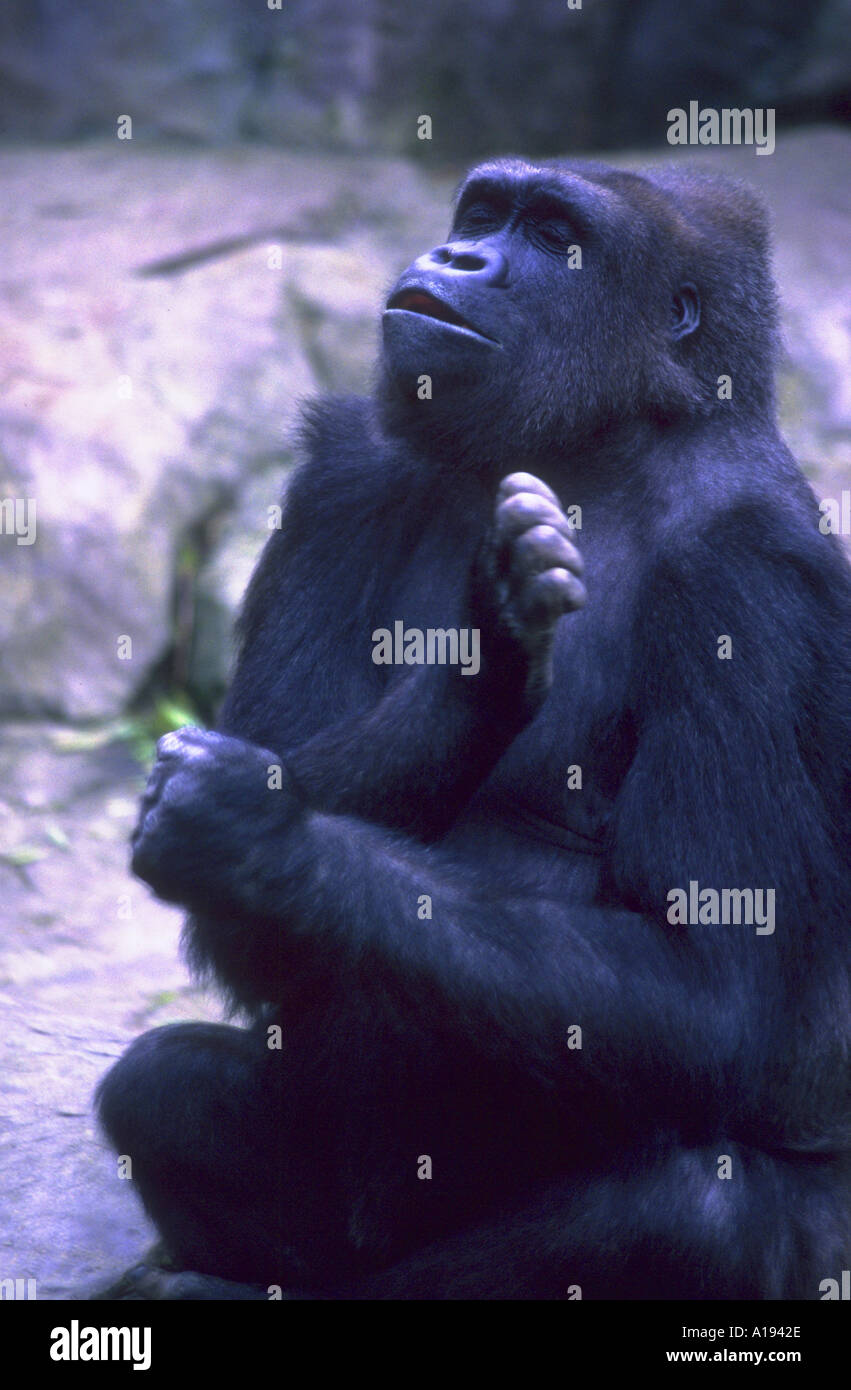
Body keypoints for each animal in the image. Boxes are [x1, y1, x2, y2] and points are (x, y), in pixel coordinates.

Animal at [96, 157, 845, 1295]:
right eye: (484, 213)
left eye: (552, 235)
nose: (457, 256)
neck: (604, 444)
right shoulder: (341, 472)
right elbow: (249, 922)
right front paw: (479, 670)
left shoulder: (750, 574)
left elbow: (706, 983)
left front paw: (261, 837)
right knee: (160, 1088)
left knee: (696, 1212)